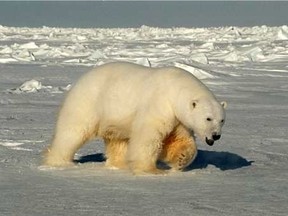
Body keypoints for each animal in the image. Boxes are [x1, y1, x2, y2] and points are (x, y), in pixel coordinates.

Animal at [44, 61, 226, 175]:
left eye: (222, 120)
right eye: (208, 118)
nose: (216, 135)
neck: (176, 89)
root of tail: (80, 80)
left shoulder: (178, 118)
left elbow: (178, 139)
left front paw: (181, 160)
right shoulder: (159, 104)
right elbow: (148, 136)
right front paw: (151, 170)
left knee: (117, 140)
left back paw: (119, 164)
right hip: (88, 102)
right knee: (73, 131)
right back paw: (59, 162)